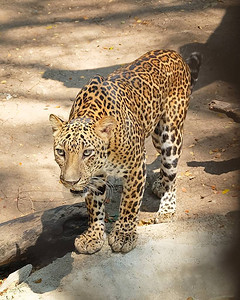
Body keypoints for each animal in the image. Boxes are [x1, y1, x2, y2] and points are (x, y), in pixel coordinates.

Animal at [49, 49, 201, 253]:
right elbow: (94, 206)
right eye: (60, 152)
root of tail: (173, 53)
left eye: (87, 153)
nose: (70, 181)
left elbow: (130, 203)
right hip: (155, 135)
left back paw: (167, 208)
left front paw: (124, 235)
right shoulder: (96, 176)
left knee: (171, 170)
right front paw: (93, 236)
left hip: (170, 133)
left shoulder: (136, 166)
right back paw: (160, 184)